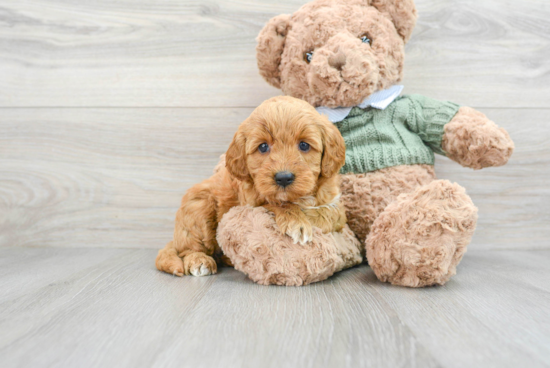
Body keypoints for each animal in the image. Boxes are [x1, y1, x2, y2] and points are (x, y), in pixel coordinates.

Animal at [155, 95, 348, 276]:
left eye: (304, 145)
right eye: (263, 147)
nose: (283, 178)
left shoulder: (335, 202)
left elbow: (331, 213)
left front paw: (307, 217)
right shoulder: (251, 205)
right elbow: (275, 203)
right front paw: (296, 221)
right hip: (198, 210)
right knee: (189, 249)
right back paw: (199, 261)